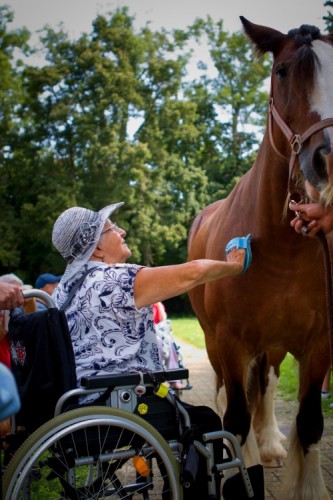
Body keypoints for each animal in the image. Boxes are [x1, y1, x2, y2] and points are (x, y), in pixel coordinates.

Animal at [187, 17, 332, 498]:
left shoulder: (319, 346)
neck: (281, 248)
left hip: (274, 345)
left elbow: (309, 422)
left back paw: (268, 444)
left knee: (264, 384)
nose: (328, 158)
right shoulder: (230, 343)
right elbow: (233, 421)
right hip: (216, 343)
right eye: (283, 71)